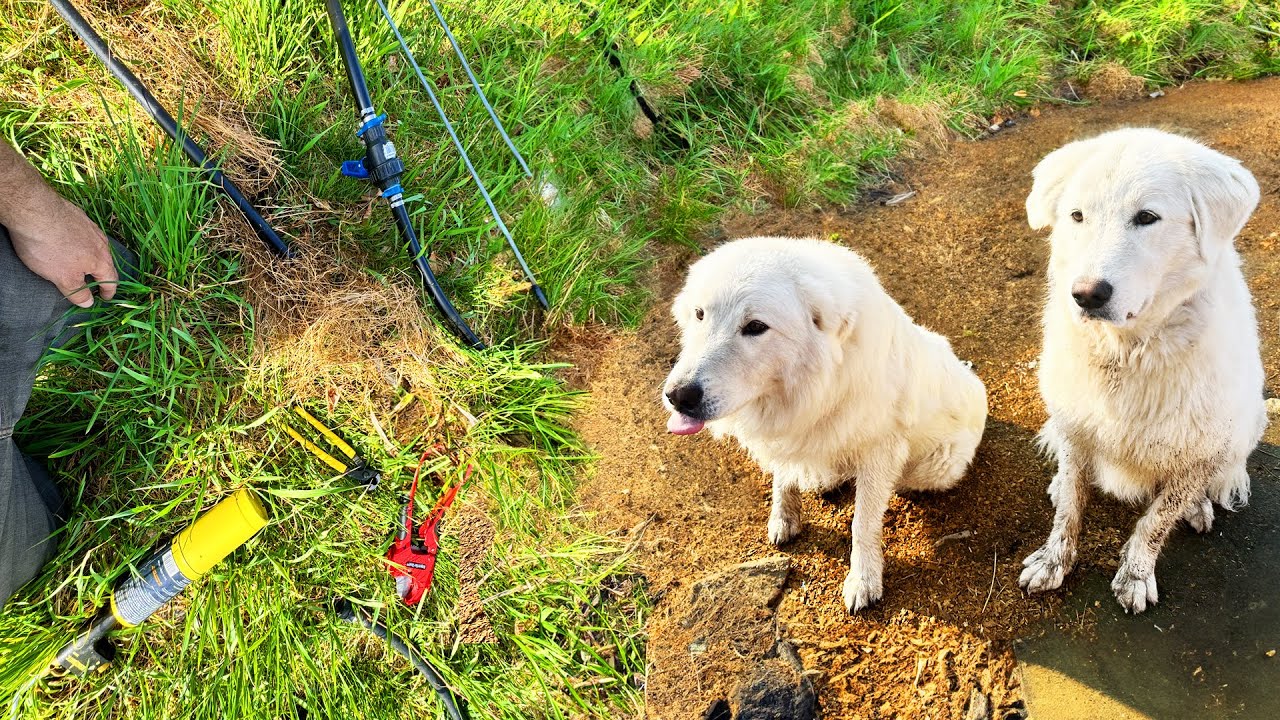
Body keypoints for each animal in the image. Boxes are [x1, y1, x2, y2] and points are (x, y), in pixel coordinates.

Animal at [660, 235, 988, 609]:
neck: (818, 384)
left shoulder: (879, 454)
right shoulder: (784, 434)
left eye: (756, 327)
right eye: (700, 314)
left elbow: (862, 524)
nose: (678, 395)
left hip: (937, 466)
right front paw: (784, 517)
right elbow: (782, 481)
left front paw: (863, 580)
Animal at [1013, 127, 1264, 609]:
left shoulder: (1202, 447)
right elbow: (1070, 506)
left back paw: (1199, 505)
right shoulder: (1074, 428)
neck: (1128, 353)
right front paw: (1054, 560)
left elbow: (1157, 519)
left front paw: (1135, 575)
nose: (1086, 295)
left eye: (1147, 217)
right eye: (1077, 216)